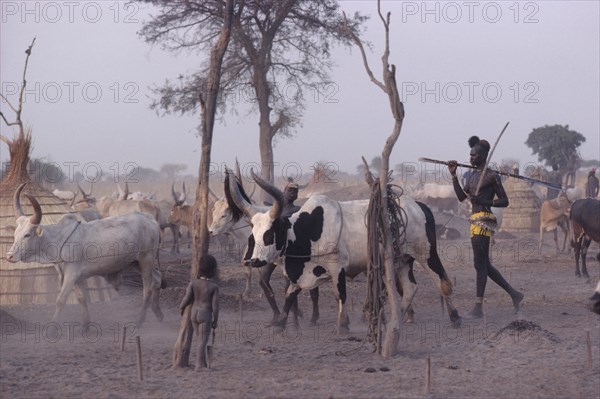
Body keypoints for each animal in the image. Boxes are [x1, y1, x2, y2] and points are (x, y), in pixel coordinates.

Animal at [7, 184, 166, 324]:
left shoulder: (71, 275)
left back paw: (140, 321)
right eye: (15, 234)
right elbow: (81, 299)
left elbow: (60, 300)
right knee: (157, 279)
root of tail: (150, 219)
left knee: (147, 289)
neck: (59, 239)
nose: (9, 256)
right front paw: (85, 325)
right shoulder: (78, 278)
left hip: (146, 260)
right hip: (136, 262)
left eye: (27, 235)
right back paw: (158, 313)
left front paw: (52, 327)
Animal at [227, 171, 462, 334]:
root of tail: (420, 205)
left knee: (442, 282)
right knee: (411, 288)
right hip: (403, 260)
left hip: (426, 253)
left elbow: (340, 294)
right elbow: (290, 294)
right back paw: (397, 319)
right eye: (253, 236)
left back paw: (454, 317)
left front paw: (342, 325)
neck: (308, 229)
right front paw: (281, 324)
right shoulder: (301, 272)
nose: (252, 261)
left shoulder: (337, 266)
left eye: (270, 234)